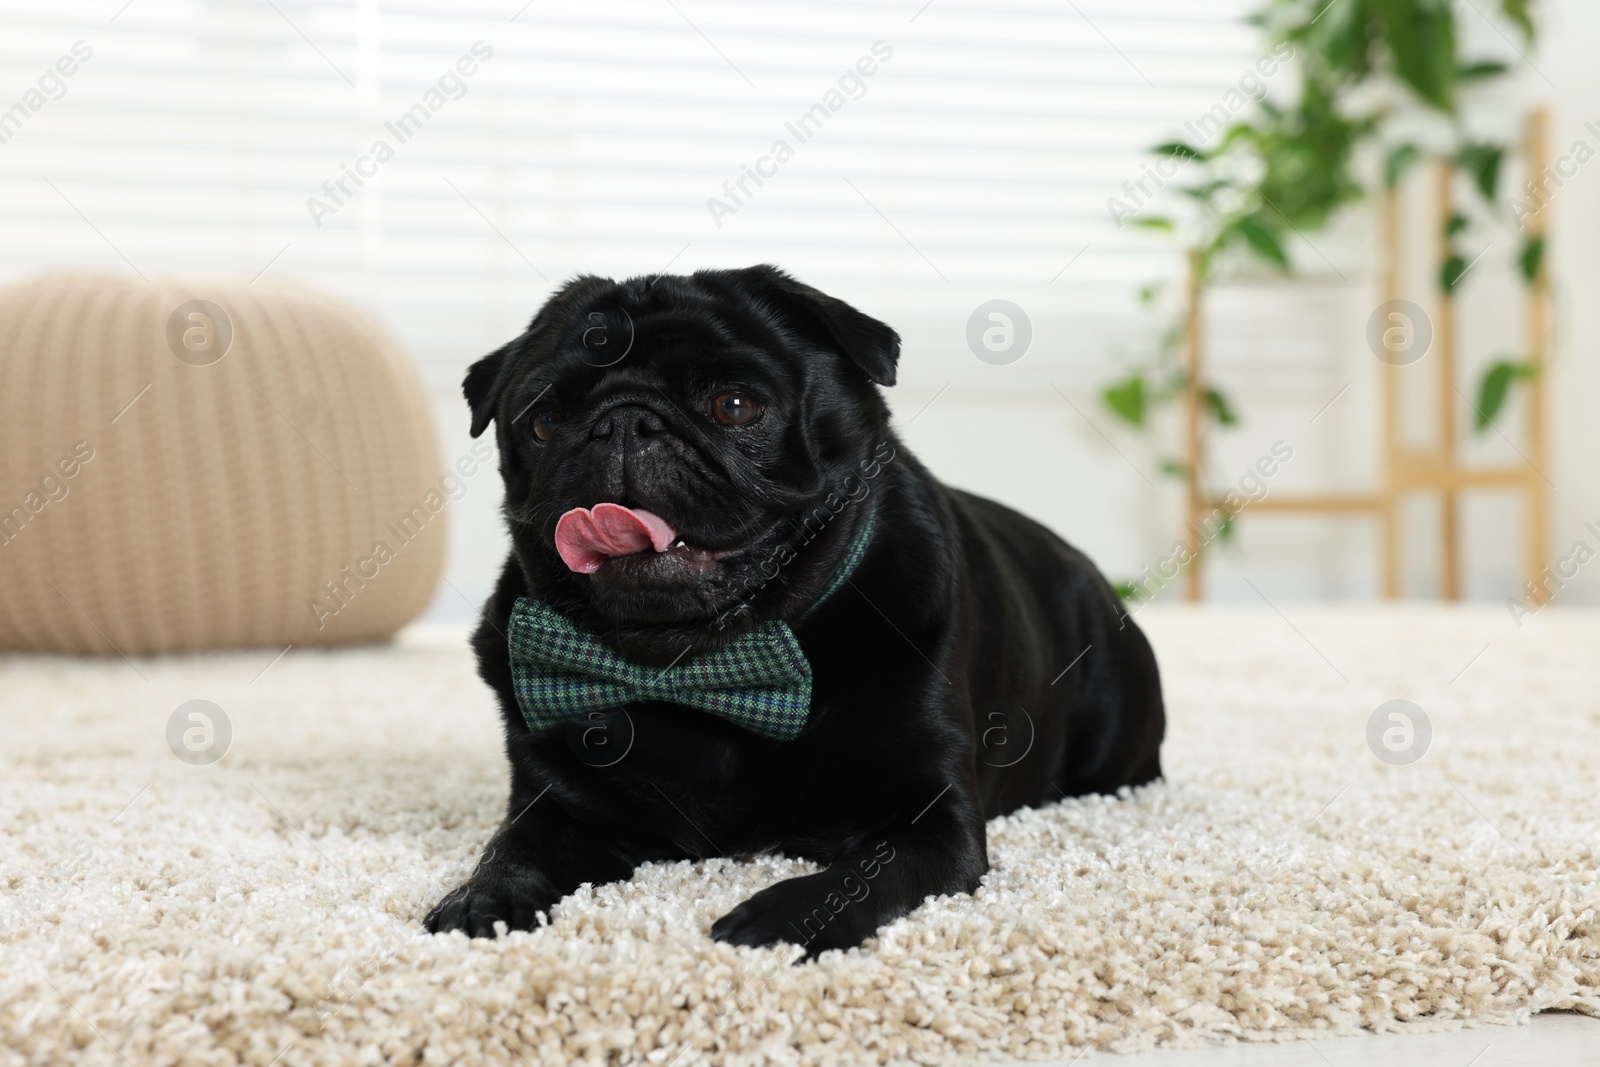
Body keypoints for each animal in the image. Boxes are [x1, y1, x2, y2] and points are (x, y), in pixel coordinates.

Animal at [425, 262, 1171, 953]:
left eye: (734, 405)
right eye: (545, 421)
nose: (623, 421)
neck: (700, 663)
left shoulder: (932, 819)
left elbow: (862, 876)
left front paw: (781, 917)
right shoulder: (557, 805)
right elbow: (513, 848)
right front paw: (482, 898)